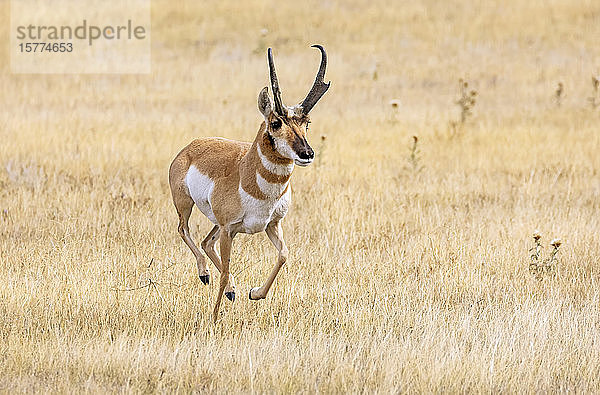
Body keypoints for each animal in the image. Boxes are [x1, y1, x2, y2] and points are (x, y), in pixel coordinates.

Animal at [169, 44, 330, 322]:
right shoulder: (229, 229)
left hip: (217, 224)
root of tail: (191, 146)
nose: (307, 153)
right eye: (276, 122)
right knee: (184, 230)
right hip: (187, 206)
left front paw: (254, 293)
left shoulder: (271, 225)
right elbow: (224, 273)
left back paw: (232, 291)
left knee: (205, 242)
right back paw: (205, 275)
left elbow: (284, 255)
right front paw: (214, 318)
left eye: (306, 123)